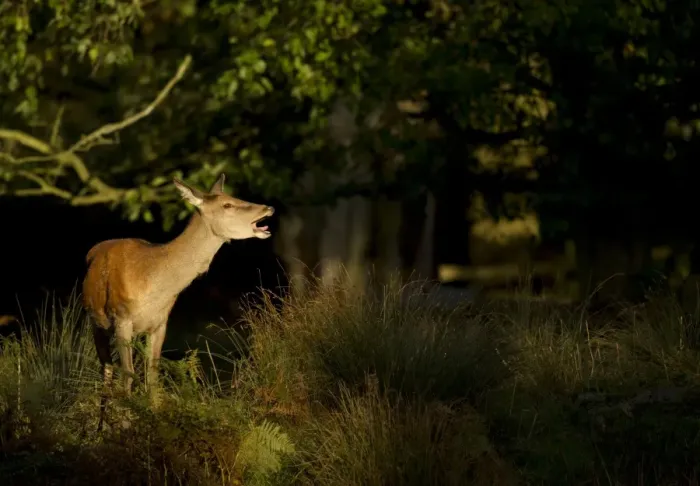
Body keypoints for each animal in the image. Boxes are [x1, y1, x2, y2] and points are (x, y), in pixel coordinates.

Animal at [82, 174, 274, 431]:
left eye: (234, 197)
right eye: (227, 205)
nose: (268, 208)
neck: (153, 282)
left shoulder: (160, 323)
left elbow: (152, 374)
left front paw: (155, 421)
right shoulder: (122, 319)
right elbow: (128, 375)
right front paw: (125, 427)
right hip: (96, 323)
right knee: (107, 369)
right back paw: (100, 428)